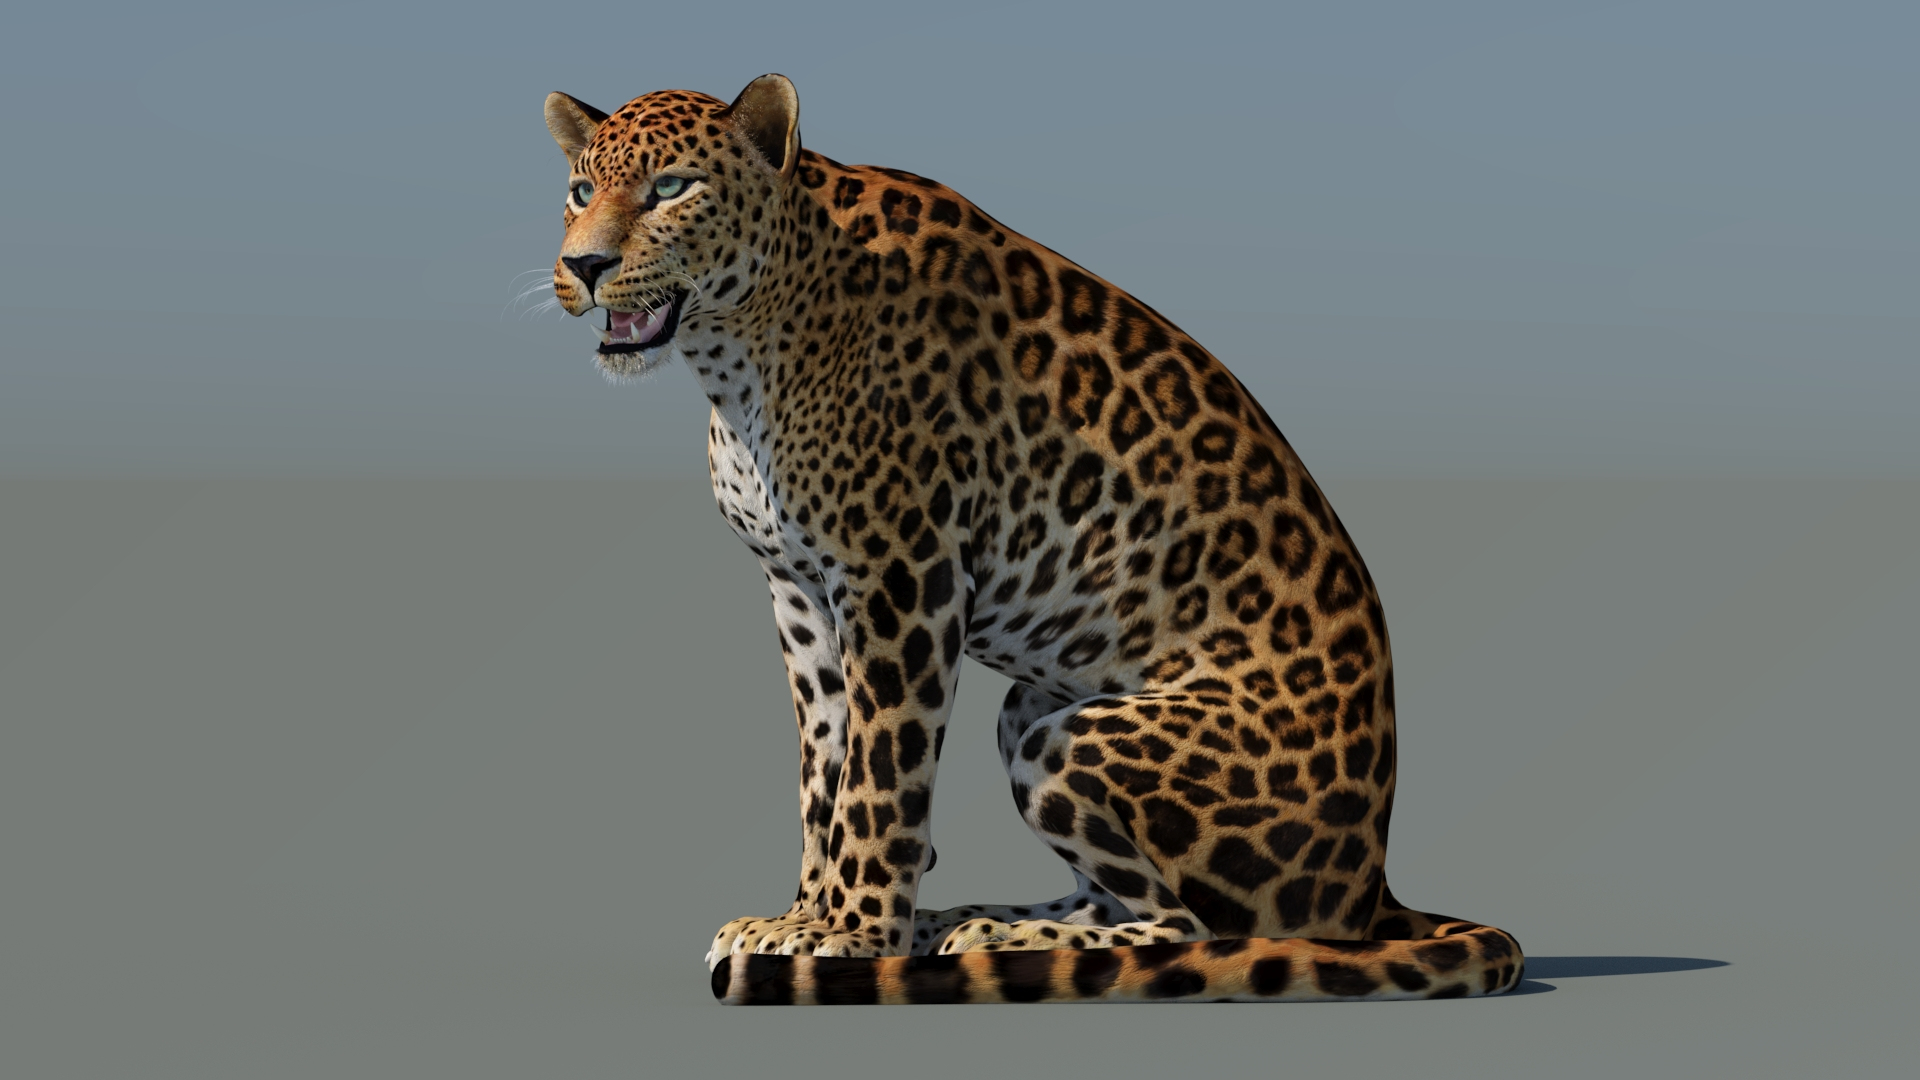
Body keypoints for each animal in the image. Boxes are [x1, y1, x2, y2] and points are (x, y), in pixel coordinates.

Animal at [542, 74, 1524, 1004]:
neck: (736, 360)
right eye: (580, 190)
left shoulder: (903, 578)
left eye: (672, 188)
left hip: (1077, 738)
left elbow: (878, 775)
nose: (582, 264)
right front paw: (800, 918)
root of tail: (1372, 887)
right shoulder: (800, 594)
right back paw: (971, 924)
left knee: (1197, 931)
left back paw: (986, 937)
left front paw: (851, 936)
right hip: (1031, 707)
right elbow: (825, 765)